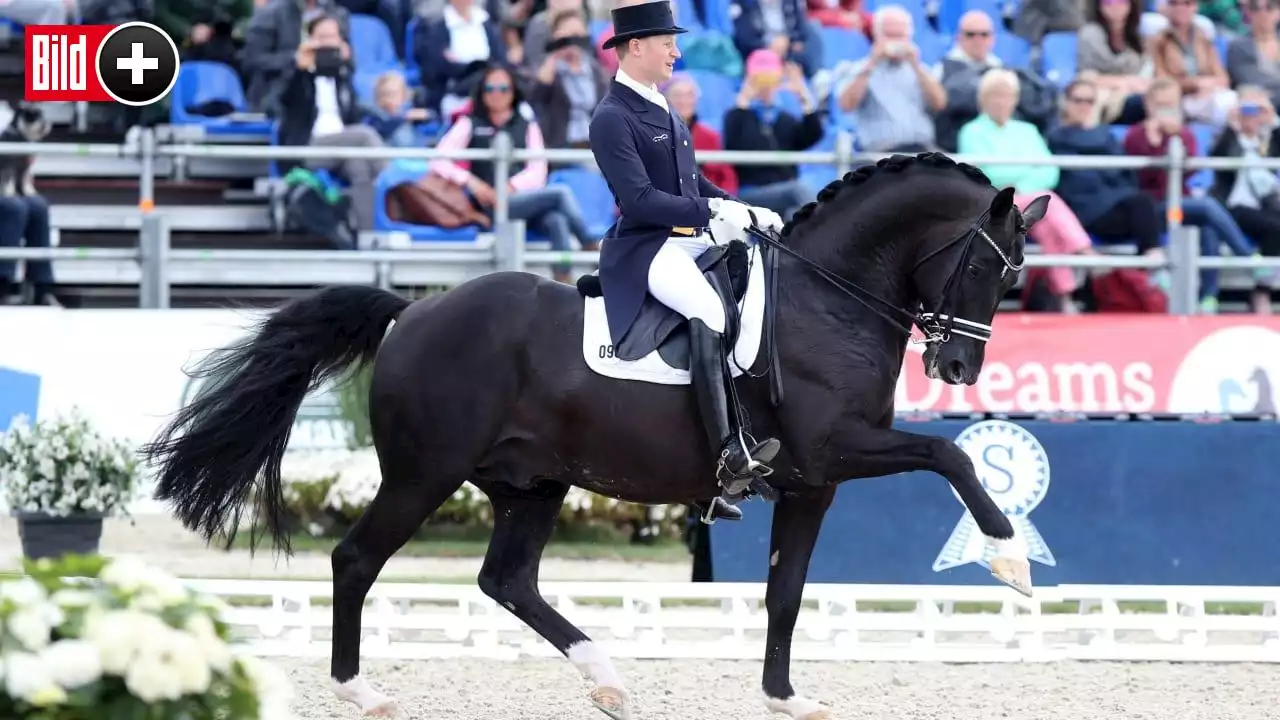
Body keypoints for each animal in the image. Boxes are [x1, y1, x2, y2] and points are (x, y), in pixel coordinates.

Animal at [142, 152, 1049, 717]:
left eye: (1013, 277)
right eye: (984, 266)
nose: (959, 365)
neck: (827, 300)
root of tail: (413, 311)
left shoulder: (812, 483)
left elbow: (785, 595)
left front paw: (787, 698)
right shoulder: (835, 451)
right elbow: (949, 453)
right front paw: (1010, 561)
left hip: (532, 482)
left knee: (508, 581)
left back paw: (606, 680)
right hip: (423, 473)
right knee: (356, 560)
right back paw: (362, 693)